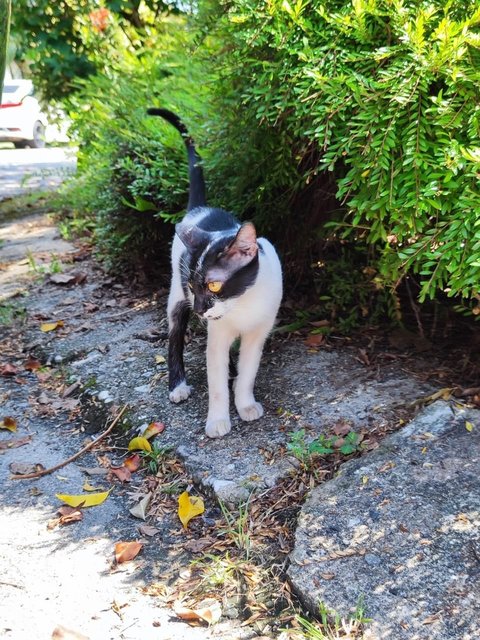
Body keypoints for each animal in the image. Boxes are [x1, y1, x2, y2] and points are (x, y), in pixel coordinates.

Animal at [146, 111, 282, 440]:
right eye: (194, 286)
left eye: (215, 285)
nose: (199, 309)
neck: (242, 303)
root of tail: (200, 210)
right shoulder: (215, 332)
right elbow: (216, 382)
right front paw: (218, 420)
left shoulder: (259, 332)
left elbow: (248, 372)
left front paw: (245, 404)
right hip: (175, 298)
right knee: (174, 340)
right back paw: (178, 385)